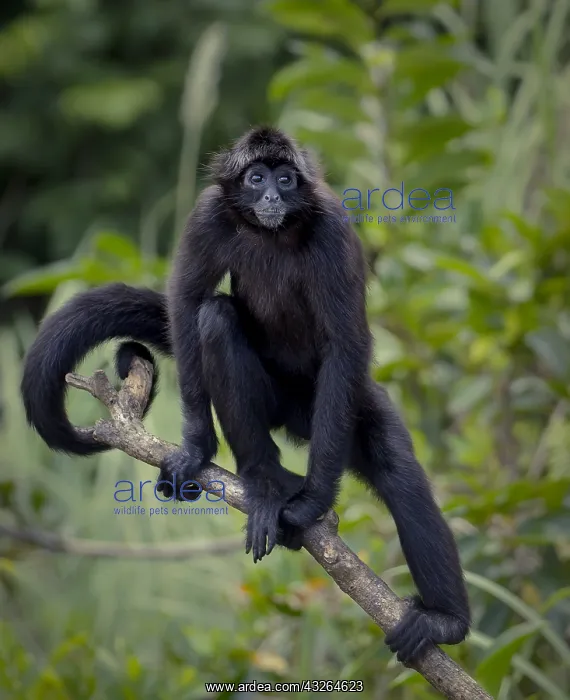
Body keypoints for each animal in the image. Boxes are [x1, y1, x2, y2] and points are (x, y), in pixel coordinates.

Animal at [21, 126, 470, 663]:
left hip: (341, 404)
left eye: (285, 178)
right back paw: (265, 479)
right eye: (256, 178)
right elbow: (188, 303)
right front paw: (197, 450)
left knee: (396, 468)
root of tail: (296, 412)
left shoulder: (334, 229)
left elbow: (345, 346)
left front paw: (312, 503)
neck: (271, 232)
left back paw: (444, 621)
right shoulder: (209, 215)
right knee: (216, 318)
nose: (272, 196)